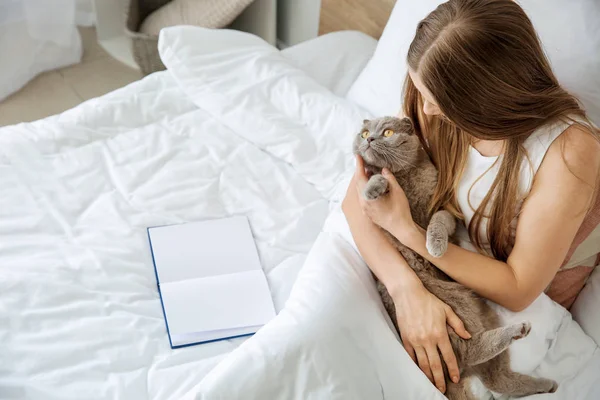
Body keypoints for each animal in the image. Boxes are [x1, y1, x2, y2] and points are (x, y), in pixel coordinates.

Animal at [352, 116, 556, 400]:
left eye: (388, 132)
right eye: (364, 133)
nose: (369, 139)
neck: (406, 177)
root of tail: (454, 374)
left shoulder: (444, 210)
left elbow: (438, 220)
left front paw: (434, 245)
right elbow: (377, 179)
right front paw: (373, 188)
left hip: (469, 309)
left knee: (493, 373)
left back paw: (543, 379)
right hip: (454, 303)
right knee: (480, 361)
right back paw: (521, 338)